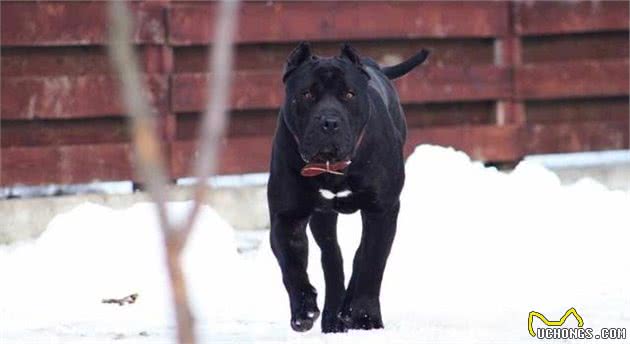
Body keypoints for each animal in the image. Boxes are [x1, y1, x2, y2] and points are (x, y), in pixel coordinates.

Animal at [268, 43, 430, 334]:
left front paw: (366, 317)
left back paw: (347, 312)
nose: (329, 121)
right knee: (332, 258)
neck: (332, 168)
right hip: (322, 217)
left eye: (349, 94)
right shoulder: (287, 217)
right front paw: (303, 310)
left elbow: (372, 264)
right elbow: (291, 266)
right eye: (307, 93)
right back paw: (332, 316)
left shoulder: (382, 210)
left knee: (359, 256)